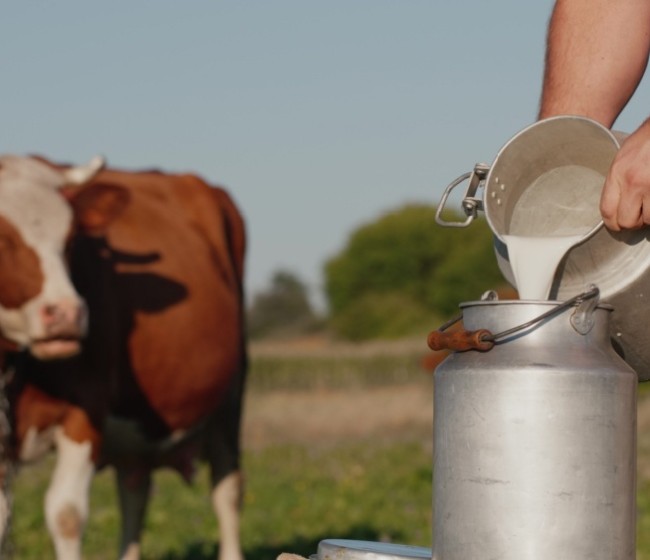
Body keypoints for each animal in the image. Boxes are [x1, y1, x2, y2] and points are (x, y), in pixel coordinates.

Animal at [0, 154, 246, 560]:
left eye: (70, 239)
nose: (67, 313)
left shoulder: (86, 408)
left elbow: (66, 514)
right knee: (134, 489)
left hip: (229, 399)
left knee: (226, 491)